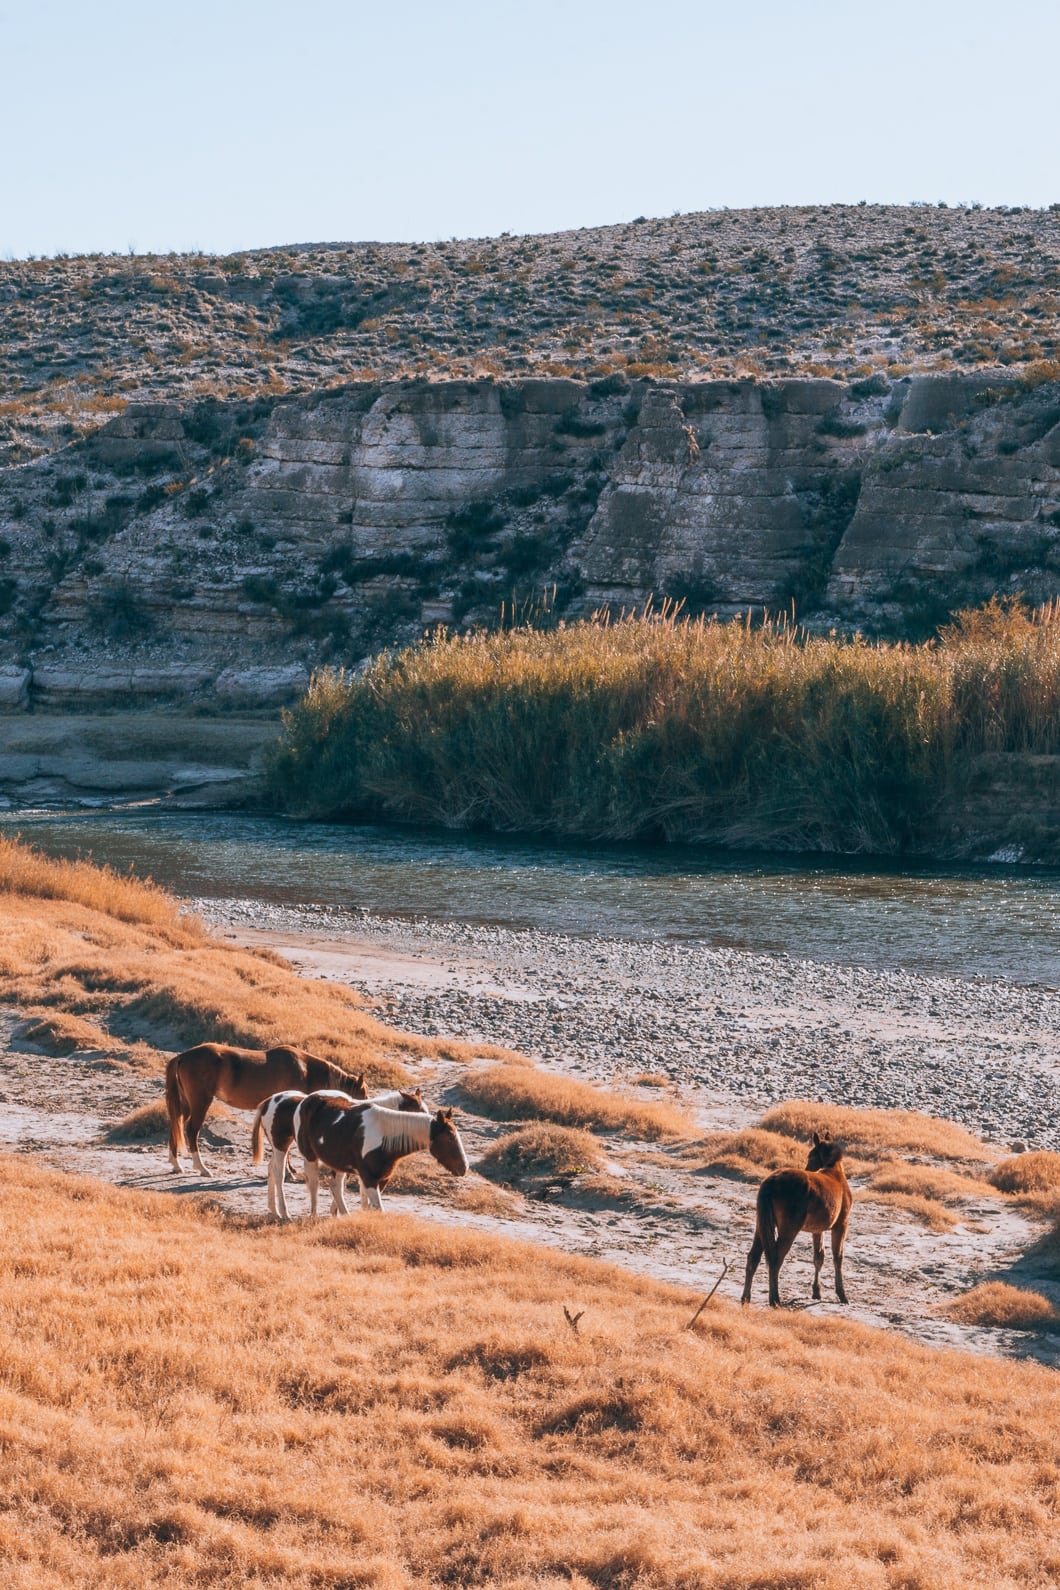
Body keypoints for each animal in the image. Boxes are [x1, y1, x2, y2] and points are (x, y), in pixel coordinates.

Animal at [163, 1036, 367, 1176]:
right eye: (363, 1094)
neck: (305, 1070)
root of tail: (183, 1056)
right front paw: (288, 1171)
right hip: (201, 1102)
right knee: (191, 1130)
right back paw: (202, 1168)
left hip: (187, 1103)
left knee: (176, 1123)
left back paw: (176, 1164)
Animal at [251, 1087, 429, 1221]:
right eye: (417, 1110)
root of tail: (268, 1101)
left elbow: (352, 1189)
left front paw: (338, 1212)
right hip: (282, 1146)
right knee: (280, 1174)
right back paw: (286, 1213)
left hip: (279, 1148)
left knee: (271, 1169)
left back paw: (274, 1211)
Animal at [290, 1093, 473, 1214]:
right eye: (450, 1137)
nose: (463, 1167)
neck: (384, 1136)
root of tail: (306, 1100)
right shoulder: (368, 1177)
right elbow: (377, 1209)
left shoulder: (382, 1178)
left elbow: (371, 1208)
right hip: (310, 1157)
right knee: (314, 1186)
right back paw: (313, 1216)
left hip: (338, 1163)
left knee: (335, 1187)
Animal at [743, 1132, 858, 1303]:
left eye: (811, 1157)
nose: (808, 1168)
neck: (834, 1174)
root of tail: (772, 1181)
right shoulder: (841, 1225)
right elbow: (838, 1257)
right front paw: (842, 1294)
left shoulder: (817, 1230)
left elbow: (819, 1257)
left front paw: (816, 1291)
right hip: (788, 1230)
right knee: (775, 1259)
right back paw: (775, 1299)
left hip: (761, 1226)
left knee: (753, 1258)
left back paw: (746, 1298)